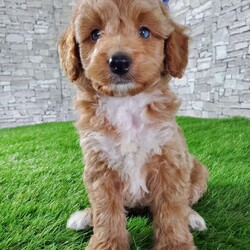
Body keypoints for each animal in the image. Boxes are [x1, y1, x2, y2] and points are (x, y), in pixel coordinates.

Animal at [57, 0, 208, 249]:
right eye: (95, 34)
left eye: (144, 32)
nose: (118, 61)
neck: (126, 101)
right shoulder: (99, 164)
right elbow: (105, 211)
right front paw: (106, 243)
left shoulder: (169, 160)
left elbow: (172, 210)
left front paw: (175, 243)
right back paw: (85, 216)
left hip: (198, 171)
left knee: (185, 203)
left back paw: (193, 217)